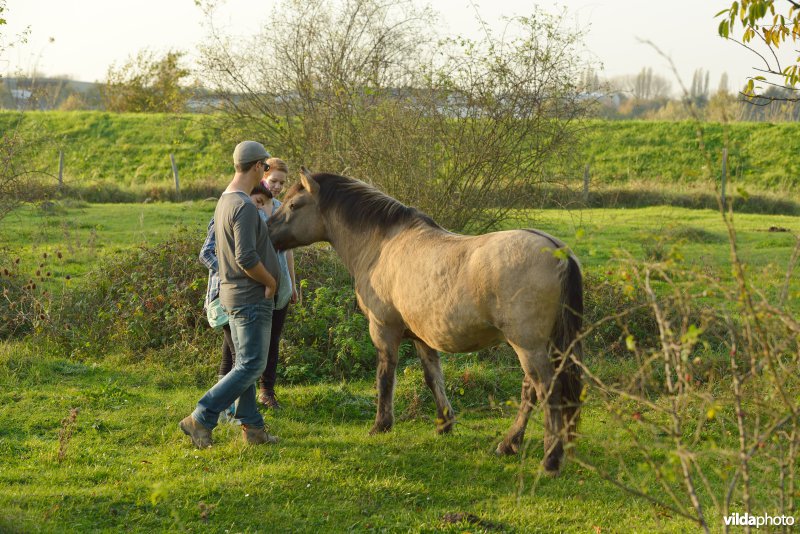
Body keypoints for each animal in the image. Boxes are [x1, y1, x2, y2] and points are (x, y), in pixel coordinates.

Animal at [268, 170, 580, 476]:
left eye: (293, 205)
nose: (267, 232)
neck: (382, 244)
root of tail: (557, 250)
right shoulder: (422, 336)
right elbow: (433, 377)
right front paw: (444, 424)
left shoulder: (383, 330)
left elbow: (385, 377)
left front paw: (381, 424)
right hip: (540, 347)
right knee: (531, 391)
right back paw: (510, 444)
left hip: (528, 347)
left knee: (547, 391)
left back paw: (550, 460)